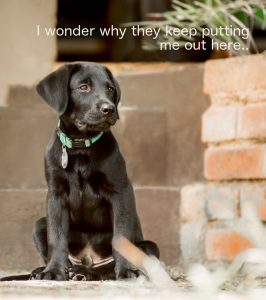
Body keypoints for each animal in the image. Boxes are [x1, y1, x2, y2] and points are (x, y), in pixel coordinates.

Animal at [27, 61, 158, 282]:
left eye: (110, 89)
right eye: (83, 87)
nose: (109, 108)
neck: (81, 147)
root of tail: (89, 258)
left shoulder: (120, 190)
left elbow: (120, 237)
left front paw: (126, 271)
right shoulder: (55, 194)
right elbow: (56, 237)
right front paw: (54, 271)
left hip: (149, 246)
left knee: (107, 268)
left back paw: (86, 272)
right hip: (38, 226)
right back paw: (56, 271)